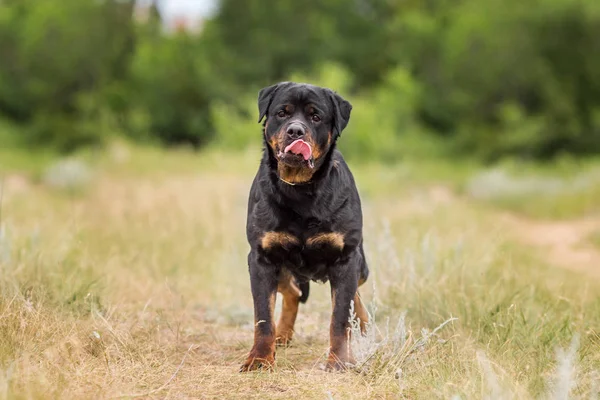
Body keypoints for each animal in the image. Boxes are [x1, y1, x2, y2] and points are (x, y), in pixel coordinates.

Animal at [241, 81, 368, 372]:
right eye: (282, 113)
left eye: (316, 117)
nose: (295, 131)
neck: (300, 189)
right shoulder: (261, 258)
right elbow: (263, 316)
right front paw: (260, 358)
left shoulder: (346, 257)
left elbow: (340, 317)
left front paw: (339, 360)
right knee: (293, 292)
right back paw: (282, 335)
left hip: (361, 263)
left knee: (356, 295)